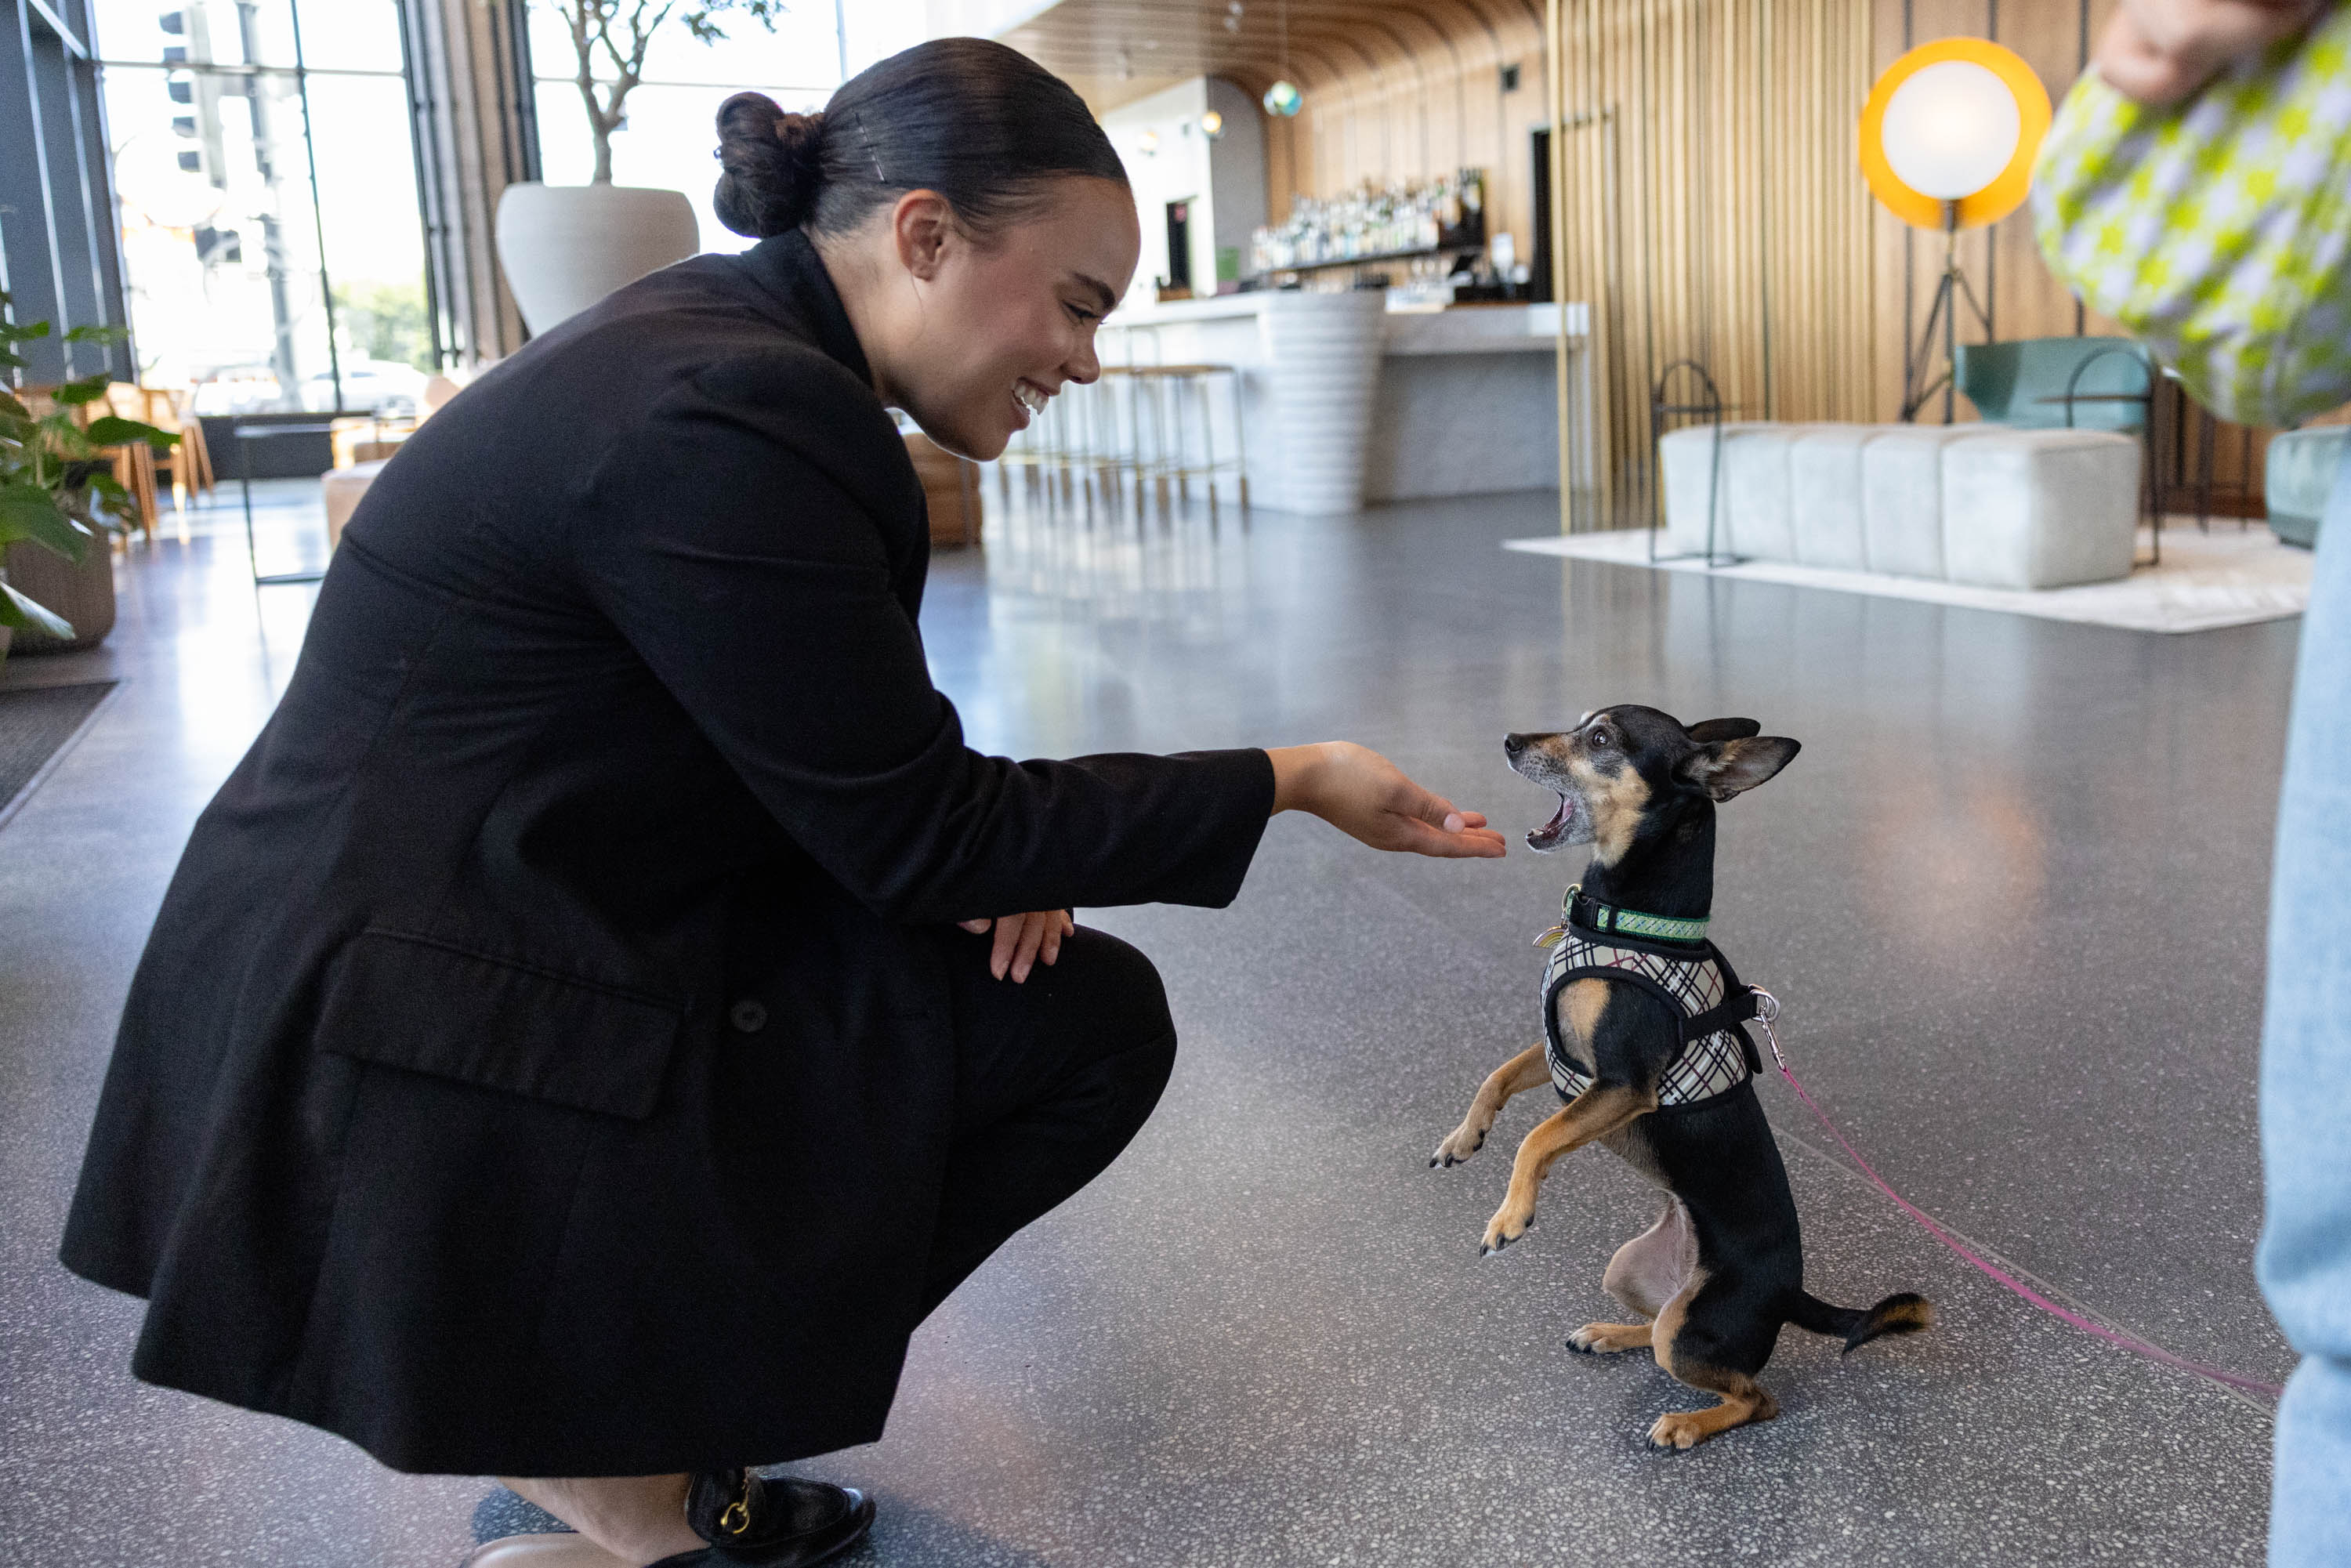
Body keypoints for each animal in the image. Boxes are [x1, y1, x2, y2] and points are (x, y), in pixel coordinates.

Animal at [1429, 705, 1928, 1458]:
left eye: (1600, 738)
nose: (1510, 741)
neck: (1628, 919)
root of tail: (1791, 1294)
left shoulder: (1622, 1084)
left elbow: (1538, 1139)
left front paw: (1510, 1213)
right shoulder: (1564, 1056)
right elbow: (1496, 1078)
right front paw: (1464, 1138)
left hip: (1696, 1324)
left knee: (1754, 1396)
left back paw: (1688, 1423)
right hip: (1630, 1270)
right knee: (1666, 1332)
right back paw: (1610, 1333)